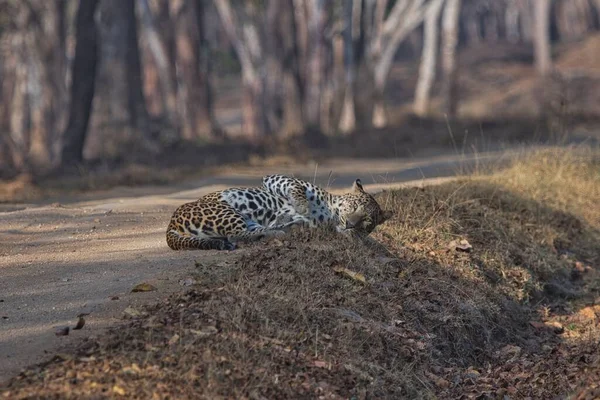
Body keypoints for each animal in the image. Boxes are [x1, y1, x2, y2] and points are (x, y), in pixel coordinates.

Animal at [262, 174, 394, 238]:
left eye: (367, 220)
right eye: (355, 205)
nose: (349, 224)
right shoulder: (272, 177)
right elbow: (295, 185)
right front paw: (302, 206)